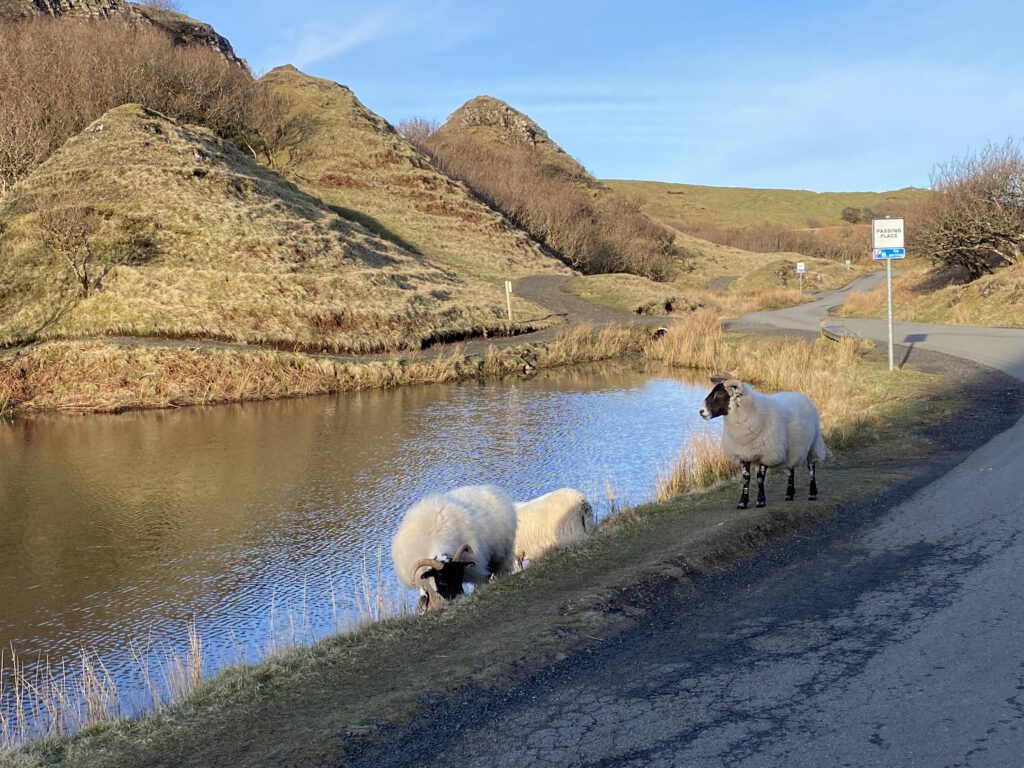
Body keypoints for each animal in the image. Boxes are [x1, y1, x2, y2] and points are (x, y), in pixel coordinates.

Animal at [391, 487, 520, 614]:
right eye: (441, 581)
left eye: (460, 576)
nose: (458, 598)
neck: (436, 541)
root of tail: (490, 489)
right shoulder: (427, 585)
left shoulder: (477, 571)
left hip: (503, 556)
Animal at [700, 378, 827, 512]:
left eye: (719, 395)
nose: (701, 411)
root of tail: (801, 395)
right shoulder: (743, 454)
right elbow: (746, 478)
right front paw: (742, 502)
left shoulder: (766, 453)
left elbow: (760, 478)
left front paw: (760, 501)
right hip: (791, 448)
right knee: (790, 468)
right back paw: (789, 494)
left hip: (813, 445)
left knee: (811, 468)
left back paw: (812, 494)